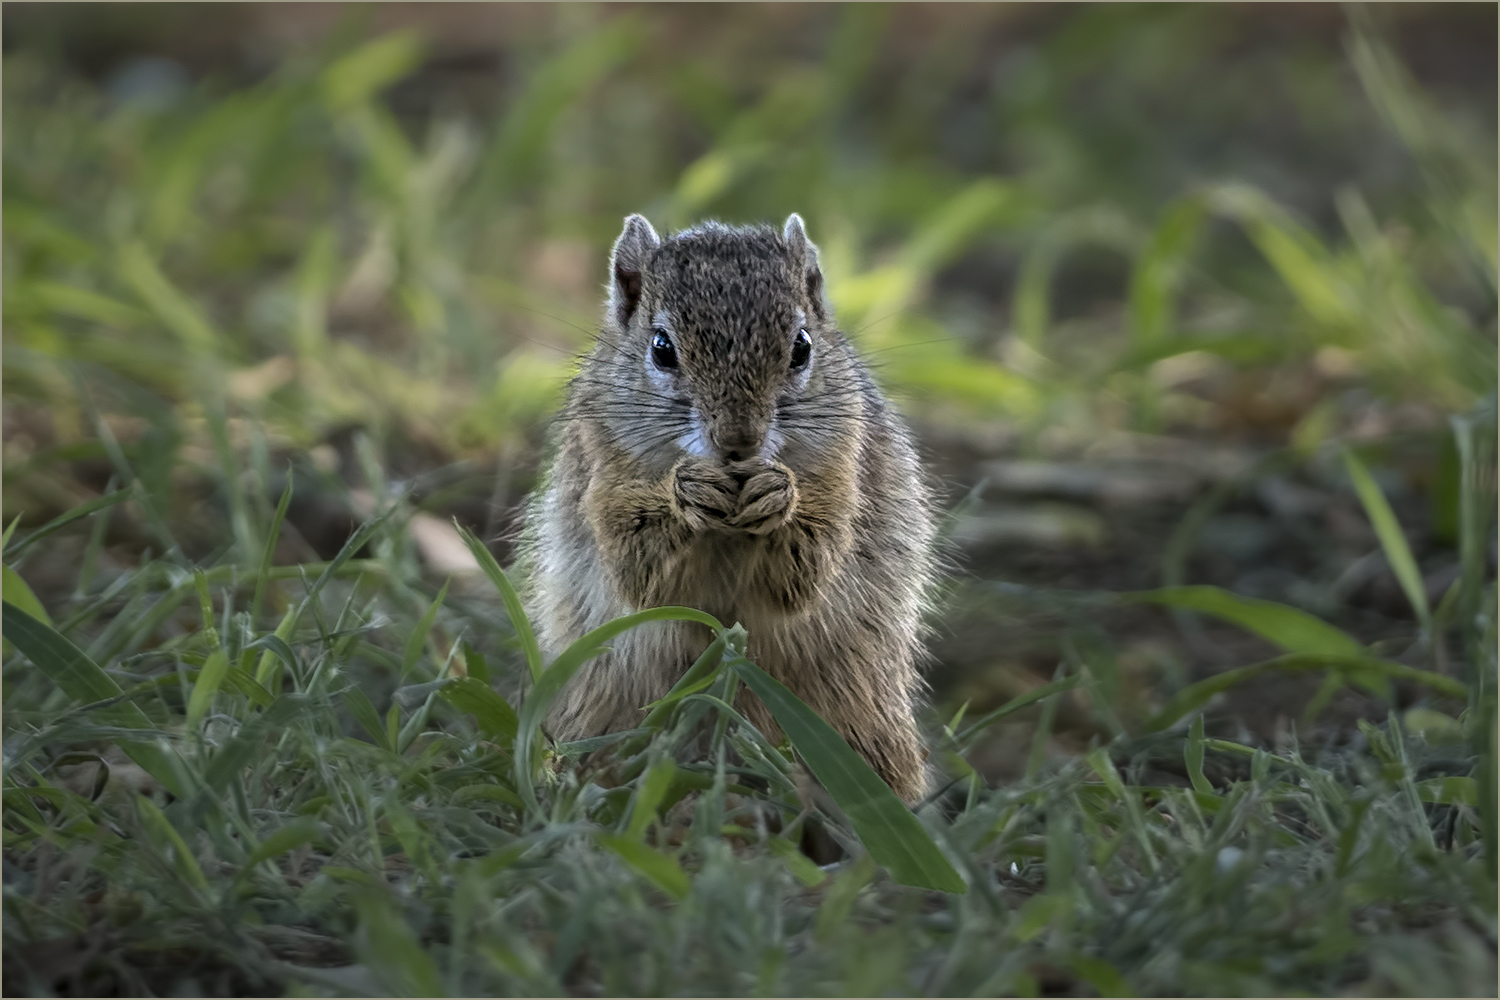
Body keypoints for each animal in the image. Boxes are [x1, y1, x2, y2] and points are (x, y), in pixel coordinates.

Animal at [516, 212, 936, 803]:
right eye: (661, 347)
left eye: (802, 346)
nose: (739, 440)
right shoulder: (605, 480)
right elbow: (642, 575)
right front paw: (688, 493)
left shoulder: (841, 475)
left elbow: (801, 575)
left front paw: (777, 493)